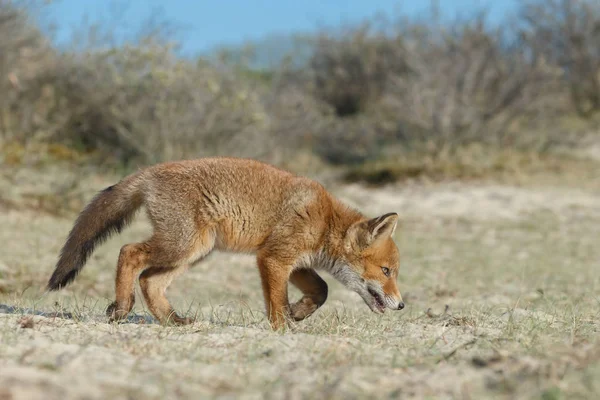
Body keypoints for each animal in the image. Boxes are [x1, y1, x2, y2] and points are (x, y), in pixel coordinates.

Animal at [47, 156, 404, 328]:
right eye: (386, 271)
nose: (401, 305)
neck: (325, 220)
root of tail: (149, 171)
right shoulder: (273, 258)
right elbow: (277, 302)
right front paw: (283, 328)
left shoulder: (295, 262)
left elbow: (322, 290)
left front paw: (298, 313)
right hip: (182, 245)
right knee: (129, 252)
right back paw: (122, 307)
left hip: (194, 252)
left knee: (149, 280)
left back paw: (172, 320)